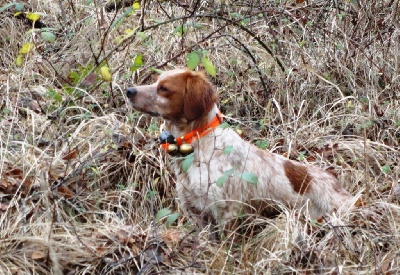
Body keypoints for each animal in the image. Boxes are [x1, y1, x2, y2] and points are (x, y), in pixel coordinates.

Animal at [127, 68, 354, 233]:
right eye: (155, 83)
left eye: (163, 88)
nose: (129, 91)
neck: (199, 144)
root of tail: (336, 182)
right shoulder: (198, 214)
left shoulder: (226, 213)